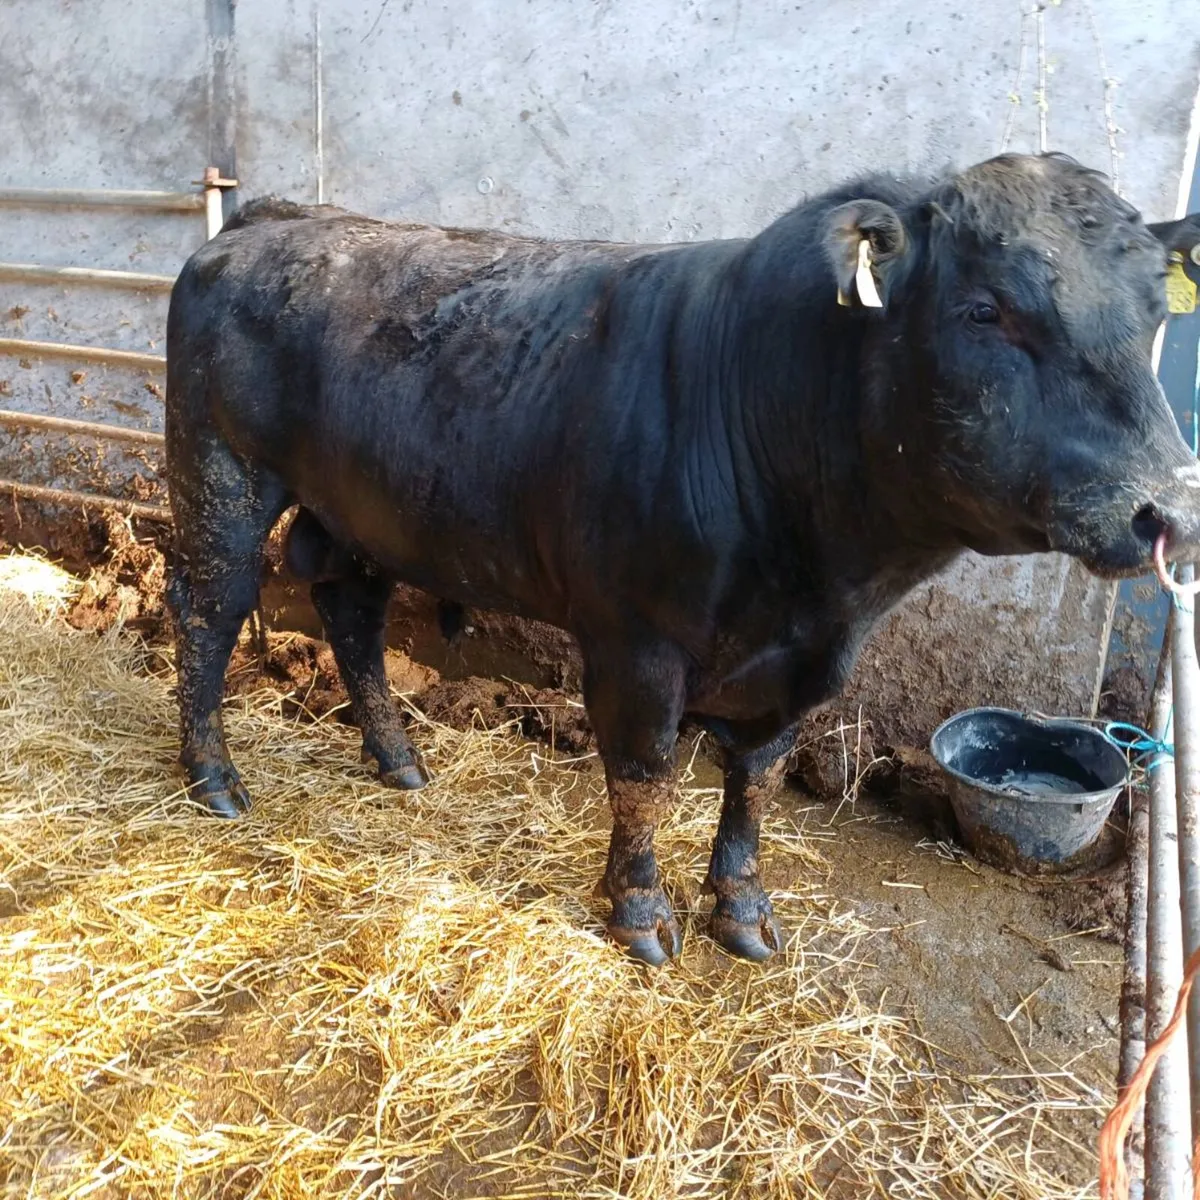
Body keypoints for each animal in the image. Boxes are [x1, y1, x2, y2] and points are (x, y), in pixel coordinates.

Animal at [165, 152, 1200, 967]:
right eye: (985, 310)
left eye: (1157, 311)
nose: (1169, 510)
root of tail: (276, 218)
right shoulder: (636, 642)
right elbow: (646, 775)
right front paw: (638, 911)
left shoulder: (813, 663)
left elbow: (757, 779)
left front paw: (740, 910)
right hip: (219, 477)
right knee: (208, 609)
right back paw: (214, 779)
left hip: (357, 511)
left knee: (352, 612)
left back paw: (398, 759)